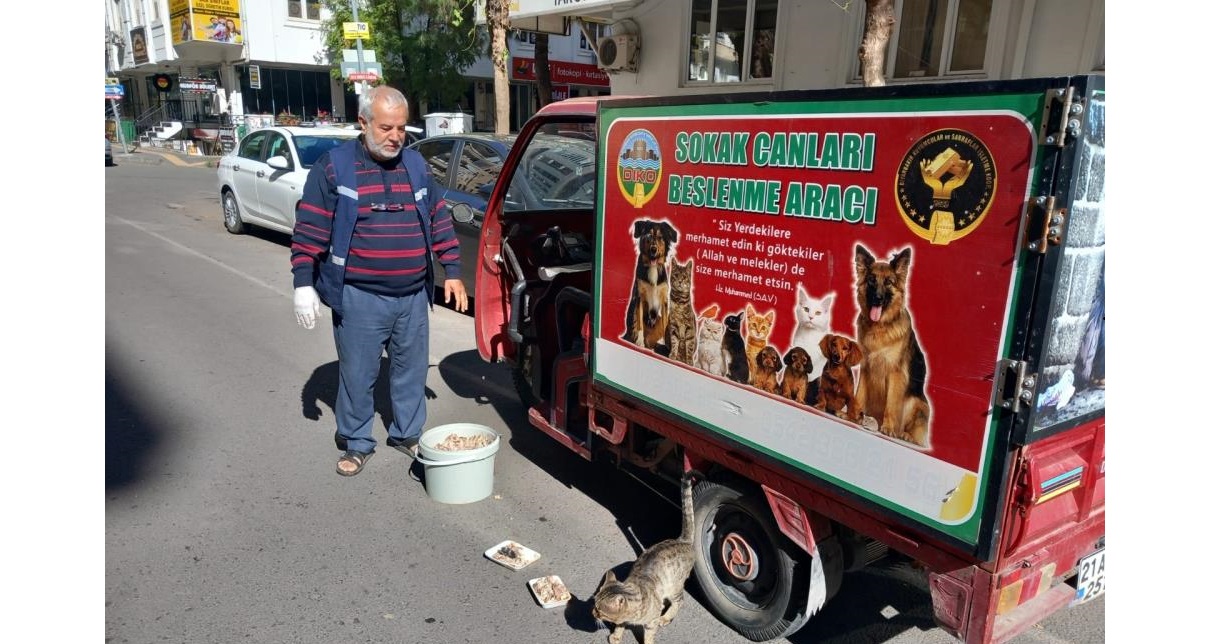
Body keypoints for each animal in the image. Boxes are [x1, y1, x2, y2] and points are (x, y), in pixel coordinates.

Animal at [593, 477, 699, 641]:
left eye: (599, 610)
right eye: (594, 604)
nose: (592, 613)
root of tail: (682, 540)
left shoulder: (652, 620)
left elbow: (649, 634)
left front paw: (648, 641)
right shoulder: (624, 618)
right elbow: (620, 625)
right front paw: (616, 636)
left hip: (674, 587)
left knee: (680, 600)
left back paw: (666, 617)